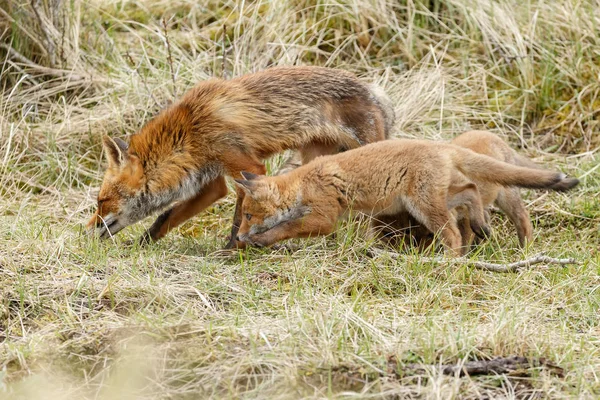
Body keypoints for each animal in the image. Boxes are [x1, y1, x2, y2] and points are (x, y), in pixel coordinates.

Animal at [85, 65, 394, 247]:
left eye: (102, 201)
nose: (84, 231)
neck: (190, 132)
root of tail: (375, 91)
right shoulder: (211, 181)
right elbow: (165, 218)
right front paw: (140, 246)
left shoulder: (247, 164)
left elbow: (239, 217)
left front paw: (234, 250)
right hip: (314, 159)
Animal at [233, 139, 576, 255]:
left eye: (248, 216)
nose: (237, 237)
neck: (304, 183)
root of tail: (440, 145)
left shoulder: (326, 216)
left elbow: (286, 228)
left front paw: (261, 240)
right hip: (433, 201)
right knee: (471, 191)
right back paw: (480, 226)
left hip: (425, 207)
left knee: (454, 233)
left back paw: (447, 264)